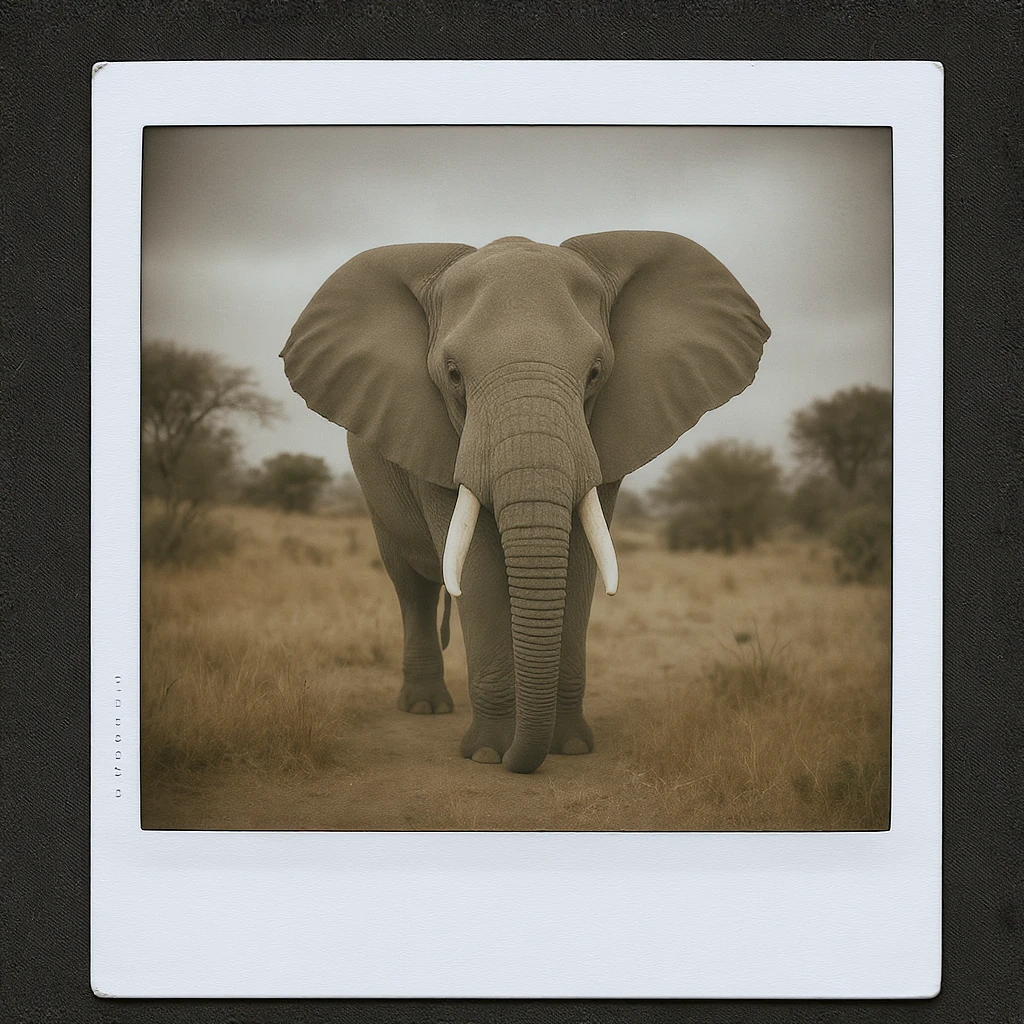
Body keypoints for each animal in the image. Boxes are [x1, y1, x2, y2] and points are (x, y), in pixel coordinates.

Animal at [280, 231, 769, 773]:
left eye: (595, 373)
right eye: (453, 374)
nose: (520, 759)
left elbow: (580, 561)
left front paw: (569, 746)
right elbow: (476, 569)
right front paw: (490, 753)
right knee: (412, 587)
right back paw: (426, 707)